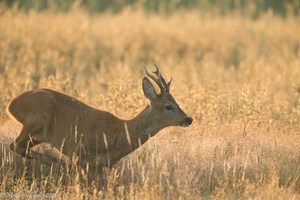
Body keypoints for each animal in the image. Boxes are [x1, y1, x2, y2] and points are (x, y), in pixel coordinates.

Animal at [8, 65, 195, 170]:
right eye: (168, 106)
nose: (188, 119)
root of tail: (11, 105)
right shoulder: (80, 151)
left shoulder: (102, 166)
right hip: (39, 114)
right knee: (15, 144)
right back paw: (57, 162)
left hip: (39, 133)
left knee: (19, 146)